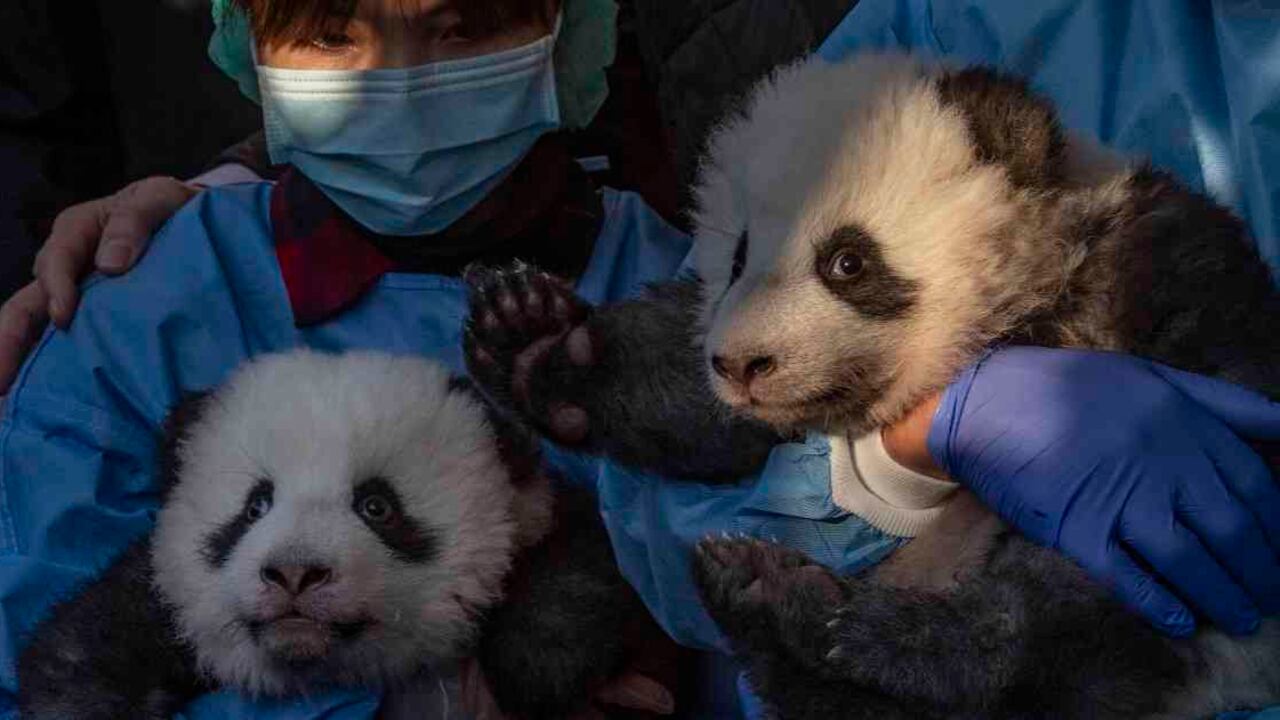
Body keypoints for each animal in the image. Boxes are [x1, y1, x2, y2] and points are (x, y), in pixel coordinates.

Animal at [17, 349, 664, 719]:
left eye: (376, 505)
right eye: (255, 506)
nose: (294, 572)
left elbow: (589, 560)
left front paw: (540, 662)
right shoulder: (161, 604)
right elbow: (84, 647)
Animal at [460, 52, 1280, 719]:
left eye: (846, 262)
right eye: (737, 260)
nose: (742, 363)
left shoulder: (1154, 270)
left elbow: (1193, 459)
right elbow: (700, 409)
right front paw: (538, 346)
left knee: (1062, 622)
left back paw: (846, 630)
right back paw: (765, 601)